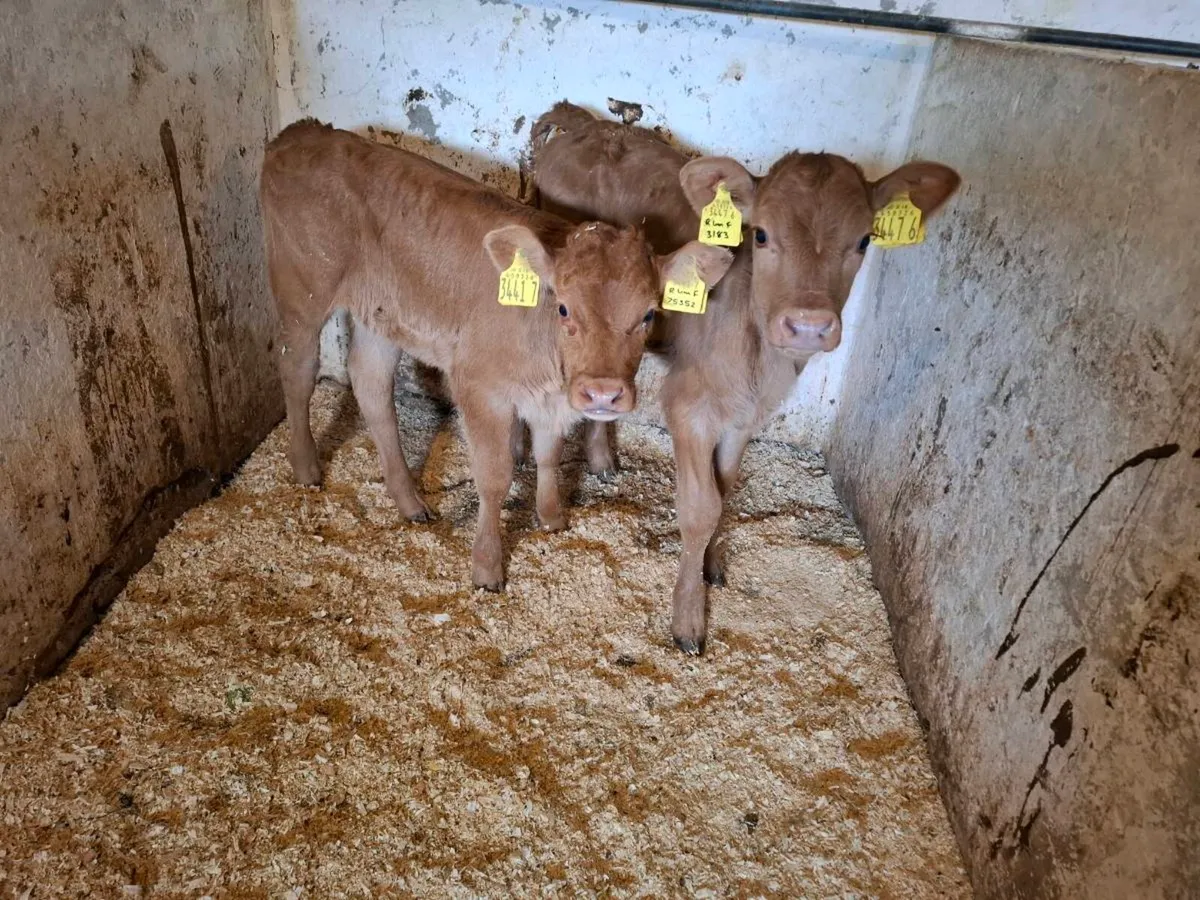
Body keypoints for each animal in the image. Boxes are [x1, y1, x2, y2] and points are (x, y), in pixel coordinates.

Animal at [260, 119, 733, 590]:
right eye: (563, 307)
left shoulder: (550, 399)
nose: (603, 394)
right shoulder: (479, 387)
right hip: (302, 291)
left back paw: (409, 501)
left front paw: (550, 517)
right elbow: (494, 477)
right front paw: (487, 566)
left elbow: (548, 454)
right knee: (296, 369)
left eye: (649, 312)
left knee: (370, 384)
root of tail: (301, 132)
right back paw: (306, 469)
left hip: (380, 315)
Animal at [531, 102, 960, 653]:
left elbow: (726, 486)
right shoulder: (689, 407)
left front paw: (713, 564)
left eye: (865, 240)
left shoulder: (745, 416)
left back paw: (603, 459)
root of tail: (585, 122)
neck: (759, 362)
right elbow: (701, 507)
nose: (808, 324)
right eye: (761, 235)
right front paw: (688, 618)